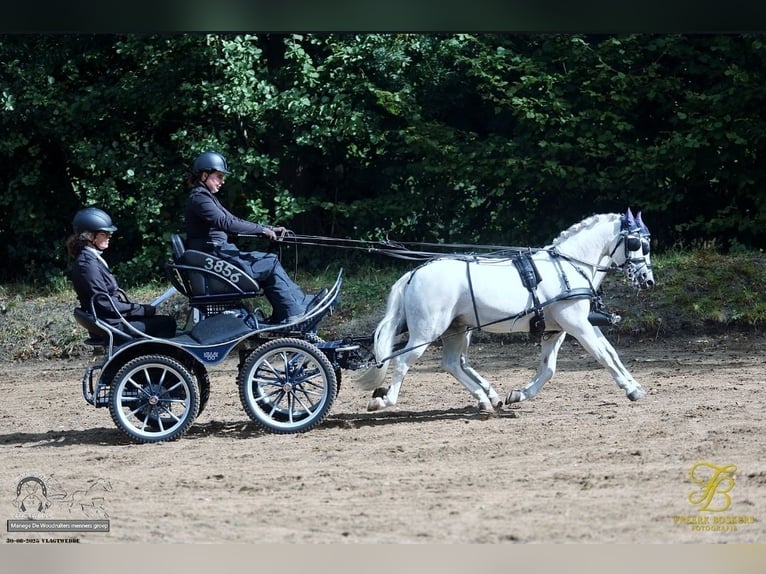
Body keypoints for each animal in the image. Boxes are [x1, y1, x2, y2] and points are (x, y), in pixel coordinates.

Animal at [355, 208, 654, 414]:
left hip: (456, 330)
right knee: (404, 360)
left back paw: (485, 399)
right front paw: (630, 388)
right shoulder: (577, 325)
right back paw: (385, 400)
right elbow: (601, 355)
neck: (568, 267)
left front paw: (519, 394)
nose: (647, 280)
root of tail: (414, 274)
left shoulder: (560, 329)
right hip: (427, 331)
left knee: (451, 363)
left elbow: (555, 366)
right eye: (636, 244)